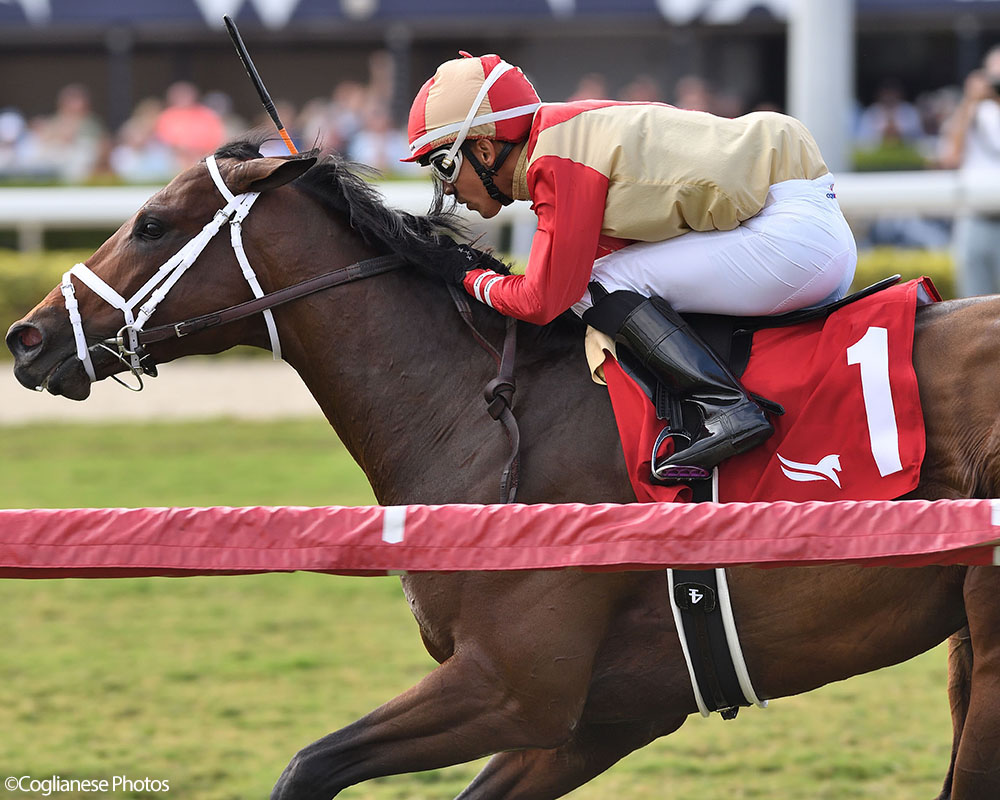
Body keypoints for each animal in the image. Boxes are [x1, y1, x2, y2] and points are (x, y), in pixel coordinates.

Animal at [7, 141, 1000, 796]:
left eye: (150, 223)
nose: (26, 337)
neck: (476, 417)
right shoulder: (600, 713)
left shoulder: (515, 684)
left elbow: (305, 766)